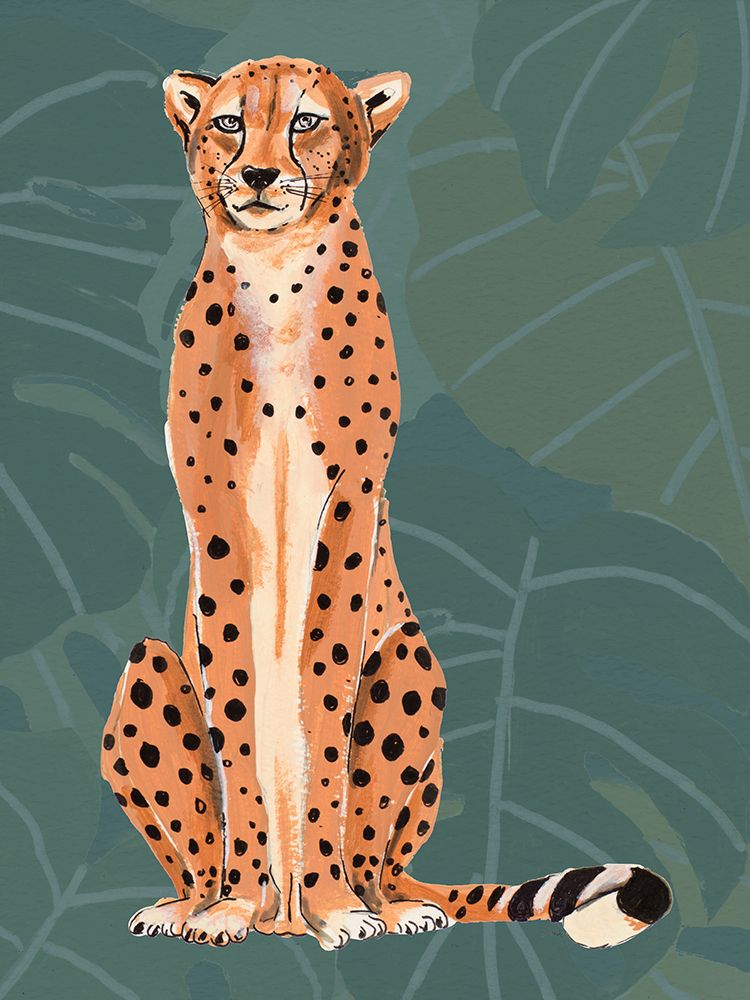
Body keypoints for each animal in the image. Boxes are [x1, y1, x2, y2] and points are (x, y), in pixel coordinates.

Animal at [101, 56, 672, 951]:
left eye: (305, 121)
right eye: (229, 123)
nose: (257, 175)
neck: (276, 273)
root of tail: (284, 927)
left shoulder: (351, 506)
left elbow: (325, 710)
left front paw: (337, 906)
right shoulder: (215, 521)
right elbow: (240, 714)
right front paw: (228, 903)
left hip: (410, 660)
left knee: (381, 858)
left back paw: (380, 905)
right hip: (148, 664)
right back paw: (196, 903)